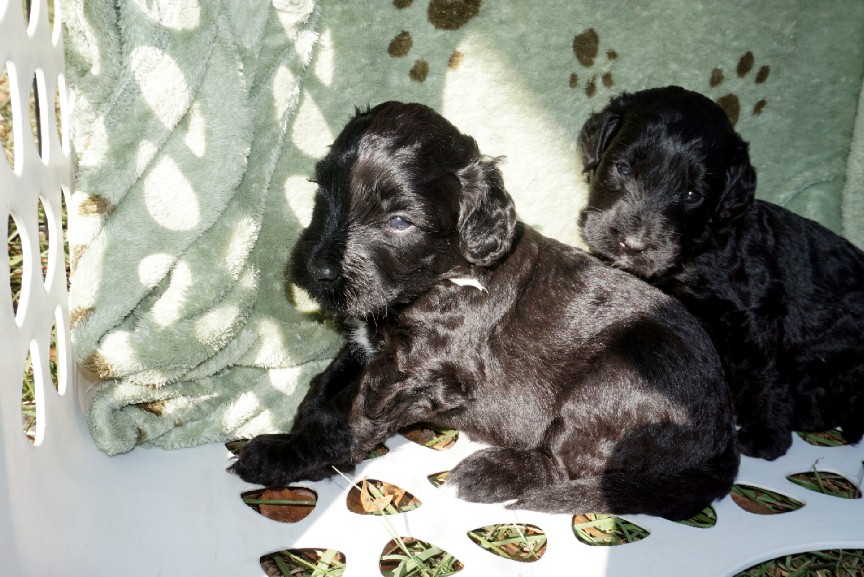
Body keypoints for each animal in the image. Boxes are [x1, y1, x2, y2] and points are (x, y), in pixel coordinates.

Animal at [230, 101, 739, 520]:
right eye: (322, 192)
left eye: (400, 222)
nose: (318, 269)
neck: (445, 277)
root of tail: (723, 433)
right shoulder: (368, 346)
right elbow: (326, 382)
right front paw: (305, 430)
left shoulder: (417, 372)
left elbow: (349, 414)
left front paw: (284, 454)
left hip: (609, 384)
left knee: (571, 465)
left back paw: (489, 473)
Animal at [578, 85, 864, 461]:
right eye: (623, 168)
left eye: (692, 194)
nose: (633, 244)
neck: (696, 249)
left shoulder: (754, 316)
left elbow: (763, 374)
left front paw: (766, 434)